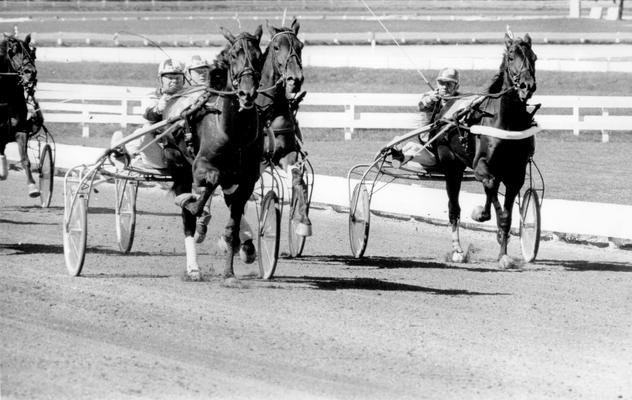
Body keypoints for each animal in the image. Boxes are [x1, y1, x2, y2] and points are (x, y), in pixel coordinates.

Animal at [168, 25, 264, 282]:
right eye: (233, 55)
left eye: (259, 56)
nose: (247, 94)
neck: (235, 132)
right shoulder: (201, 165)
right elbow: (211, 180)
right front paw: (192, 205)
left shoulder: (247, 180)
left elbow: (233, 225)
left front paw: (229, 272)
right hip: (179, 168)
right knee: (187, 221)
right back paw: (193, 267)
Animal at [253, 18, 310, 236]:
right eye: (277, 47)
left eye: (300, 46)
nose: (295, 79)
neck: (268, 113)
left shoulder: (287, 153)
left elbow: (297, 179)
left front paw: (302, 220)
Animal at [430, 32, 540, 268]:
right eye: (511, 56)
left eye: (534, 57)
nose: (527, 85)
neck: (505, 121)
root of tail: (445, 108)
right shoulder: (480, 165)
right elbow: (490, 186)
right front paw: (480, 213)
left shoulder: (516, 174)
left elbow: (506, 215)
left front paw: (503, 253)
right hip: (452, 166)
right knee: (454, 208)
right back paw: (458, 251)